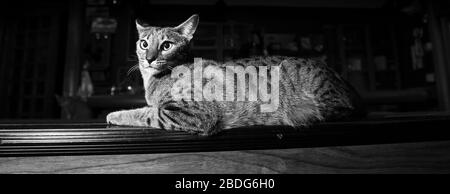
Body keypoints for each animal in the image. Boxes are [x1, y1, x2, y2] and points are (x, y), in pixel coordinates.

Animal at [108, 14, 366, 136]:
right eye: (143, 43)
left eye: (166, 45)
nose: (149, 58)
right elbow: (147, 109)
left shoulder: (192, 114)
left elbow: (145, 113)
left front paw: (115, 114)